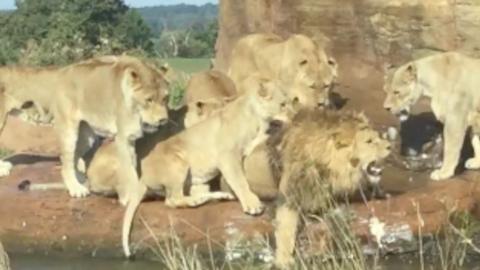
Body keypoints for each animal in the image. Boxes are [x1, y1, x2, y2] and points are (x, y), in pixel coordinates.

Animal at [0, 55, 169, 198]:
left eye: (165, 98)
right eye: (149, 100)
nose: (163, 120)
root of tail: (60, 74)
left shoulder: (130, 137)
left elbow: (133, 165)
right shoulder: (123, 137)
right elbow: (128, 169)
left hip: (87, 135)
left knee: (74, 158)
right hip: (68, 129)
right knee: (66, 163)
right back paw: (76, 189)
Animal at [121, 73, 292, 258]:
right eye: (283, 104)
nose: (295, 115)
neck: (259, 119)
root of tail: (143, 176)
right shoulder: (227, 155)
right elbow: (240, 181)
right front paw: (252, 204)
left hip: (197, 181)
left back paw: (218, 196)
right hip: (178, 162)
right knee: (172, 200)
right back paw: (198, 201)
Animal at [274, 109, 390, 268]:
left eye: (378, 136)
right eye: (369, 141)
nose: (390, 146)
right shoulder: (289, 194)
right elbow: (285, 228)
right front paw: (284, 261)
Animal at [382, 51, 480, 180]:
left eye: (396, 92)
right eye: (385, 91)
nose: (386, 108)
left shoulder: (455, 120)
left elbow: (450, 148)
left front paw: (444, 173)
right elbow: (477, 141)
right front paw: (477, 162)